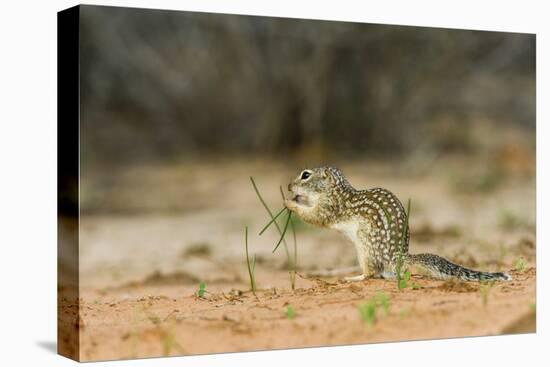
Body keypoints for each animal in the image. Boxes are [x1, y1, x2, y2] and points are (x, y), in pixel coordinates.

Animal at [284, 165, 512, 284]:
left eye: (305, 174)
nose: (288, 186)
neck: (335, 190)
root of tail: (398, 256)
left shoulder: (329, 207)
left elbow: (315, 217)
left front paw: (289, 202)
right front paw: (293, 199)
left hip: (365, 248)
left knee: (373, 273)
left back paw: (354, 277)